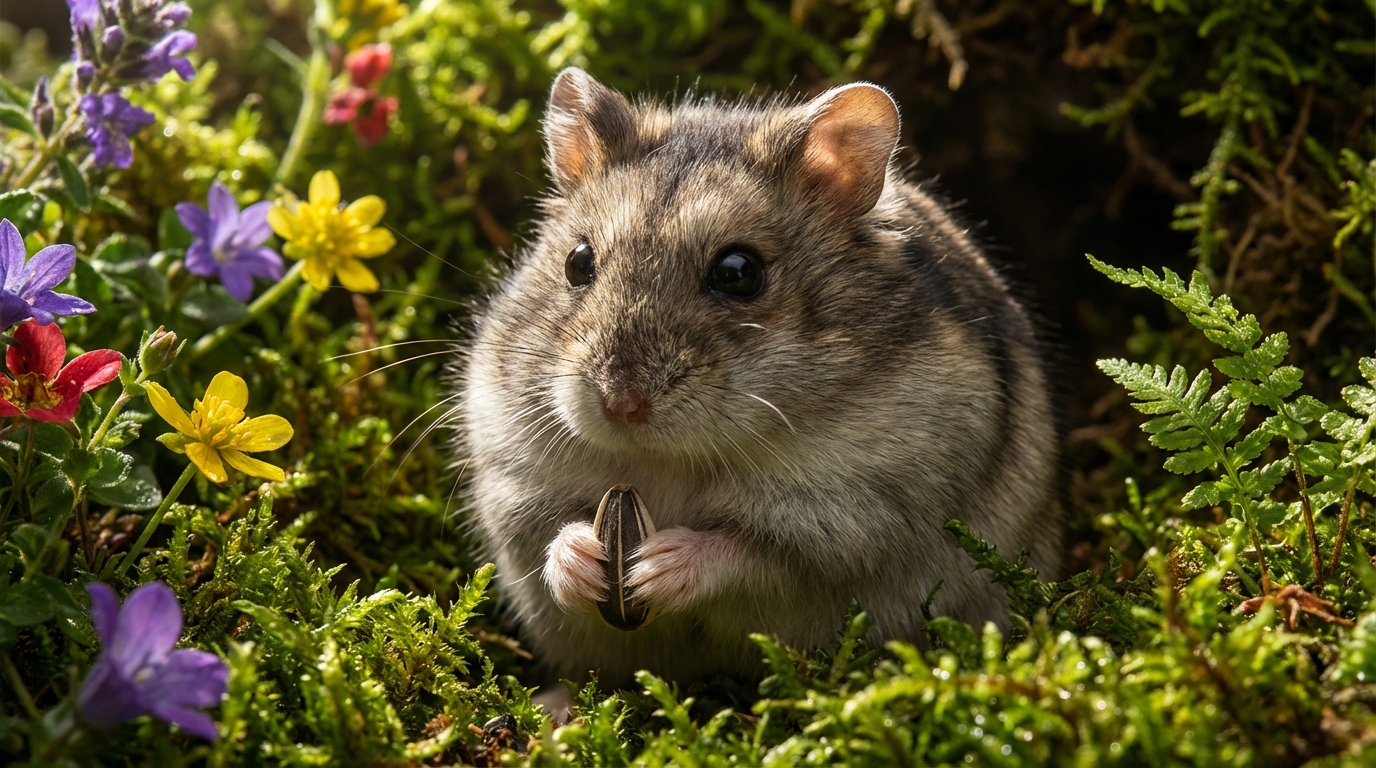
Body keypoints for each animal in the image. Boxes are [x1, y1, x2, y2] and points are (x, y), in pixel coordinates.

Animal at [457, 68, 1062, 689]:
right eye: (577, 261)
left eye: (738, 272)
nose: (620, 404)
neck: (669, 462)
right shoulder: (512, 479)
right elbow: (550, 534)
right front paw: (583, 559)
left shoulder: (853, 520)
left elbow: (749, 553)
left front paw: (653, 568)